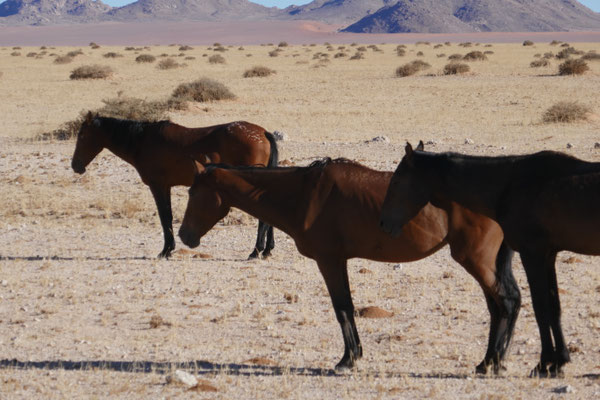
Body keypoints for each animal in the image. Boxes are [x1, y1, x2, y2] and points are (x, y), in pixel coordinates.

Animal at [71, 111, 278, 260]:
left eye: (82, 136)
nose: (75, 165)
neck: (142, 141)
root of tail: (263, 133)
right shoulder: (166, 186)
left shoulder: (159, 186)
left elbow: (165, 217)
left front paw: (166, 250)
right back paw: (266, 250)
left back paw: (256, 251)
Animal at [177, 157, 520, 372]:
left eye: (193, 192)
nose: (183, 236)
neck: (304, 194)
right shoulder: (337, 261)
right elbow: (347, 308)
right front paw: (354, 355)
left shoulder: (330, 261)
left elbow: (342, 308)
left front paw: (348, 359)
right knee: (500, 306)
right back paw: (489, 361)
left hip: (476, 260)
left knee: (506, 303)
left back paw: (495, 363)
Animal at [382, 143, 600, 378]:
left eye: (396, 181)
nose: (384, 223)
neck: (510, 184)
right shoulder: (548, 256)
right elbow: (554, 307)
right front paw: (560, 361)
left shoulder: (533, 254)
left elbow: (541, 308)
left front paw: (545, 363)